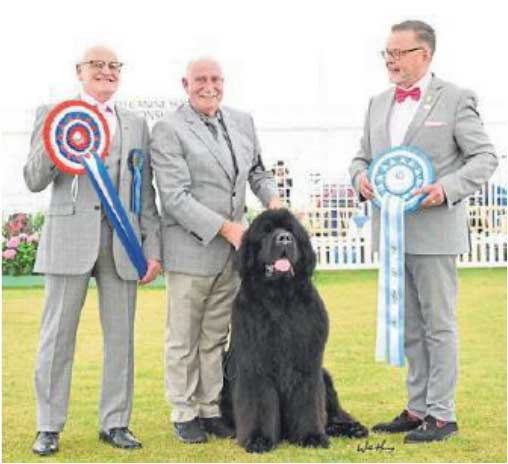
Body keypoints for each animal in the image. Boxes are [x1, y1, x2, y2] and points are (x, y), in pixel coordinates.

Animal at [220, 208, 368, 452]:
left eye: (291, 231)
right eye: (267, 231)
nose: (284, 239)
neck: (280, 298)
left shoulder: (308, 363)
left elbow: (308, 401)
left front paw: (312, 436)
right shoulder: (254, 364)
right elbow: (258, 402)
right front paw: (258, 439)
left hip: (325, 375)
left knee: (334, 413)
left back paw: (351, 428)